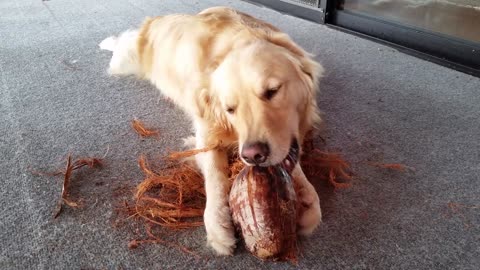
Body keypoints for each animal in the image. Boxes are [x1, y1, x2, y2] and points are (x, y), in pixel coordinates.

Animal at [101, 6, 326, 255]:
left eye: (272, 91)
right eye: (230, 109)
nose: (252, 155)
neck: (240, 38)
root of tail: (155, 20)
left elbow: (297, 169)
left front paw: (307, 196)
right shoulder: (206, 132)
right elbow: (215, 175)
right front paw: (217, 224)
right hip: (128, 59)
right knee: (121, 44)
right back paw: (107, 42)